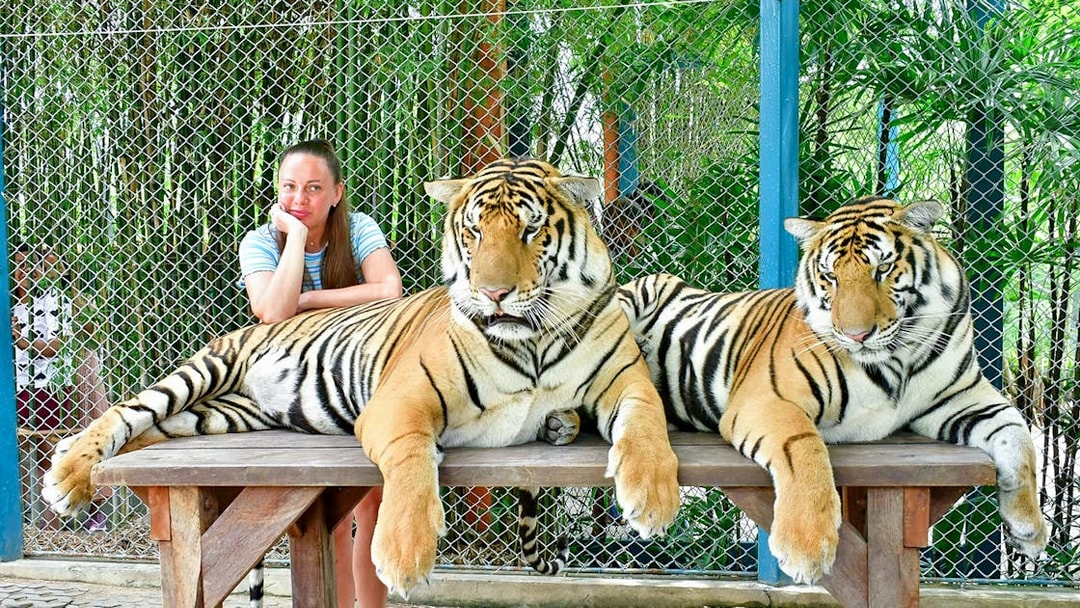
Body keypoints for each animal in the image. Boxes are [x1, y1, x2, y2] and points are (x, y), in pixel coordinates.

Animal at [42, 158, 680, 598]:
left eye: (529, 231)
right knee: (127, 410)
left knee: (152, 430)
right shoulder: (402, 399)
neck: (534, 339)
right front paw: (403, 554)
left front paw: (651, 498)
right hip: (206, 371)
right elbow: (412, 462)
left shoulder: (625, 378)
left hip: (215, 416)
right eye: (474, 232)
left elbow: (647, 422)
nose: (493, 293)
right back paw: (67, 478)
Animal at [616, 196, 1048, 585]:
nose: (856, 335)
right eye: (831, 276)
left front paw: (1029, 529)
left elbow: (1018, 436)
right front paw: (806, 548)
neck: (898, 358)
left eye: (883, 268)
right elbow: (804, 448)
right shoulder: (767, 398)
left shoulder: (964, 398)